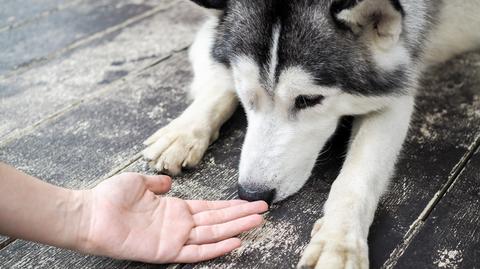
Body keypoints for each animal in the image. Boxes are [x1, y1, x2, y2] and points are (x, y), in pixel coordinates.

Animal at [143, 0, 480, 266]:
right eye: (246, 93)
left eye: (308, 99)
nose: (252, 194)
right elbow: (218, 84)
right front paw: (183, 131)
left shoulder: (394, 90)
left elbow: (357, 177)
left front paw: (338, 242)